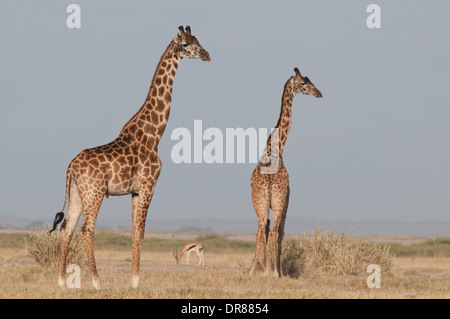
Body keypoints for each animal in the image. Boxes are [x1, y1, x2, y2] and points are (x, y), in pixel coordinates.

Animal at [50, 25, 212, 290]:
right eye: (186, 45)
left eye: (198, 41)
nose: (207, 55)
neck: (154, 134)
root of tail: (71, 167)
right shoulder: (148, 185)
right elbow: (140, 231)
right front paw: (136, 282)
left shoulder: (135, 190)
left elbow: (135, 231)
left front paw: (132, 280)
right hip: (95, 192)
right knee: (86, 229)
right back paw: (97, 282)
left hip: (76, 194)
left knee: (67, 228)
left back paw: (63, 282)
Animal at [250, 67, 320, 278]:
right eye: (304, 83)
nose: (319, 93)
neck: (277, 147)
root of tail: (269, 181)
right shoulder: (287, 199)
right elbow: (281, 232)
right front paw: (276, 271)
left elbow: (266, 230)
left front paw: (266, 270)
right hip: (278, 201)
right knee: (274, 230)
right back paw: (273, 272)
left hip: (260, 201)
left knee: (261, 228)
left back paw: (253, 270)